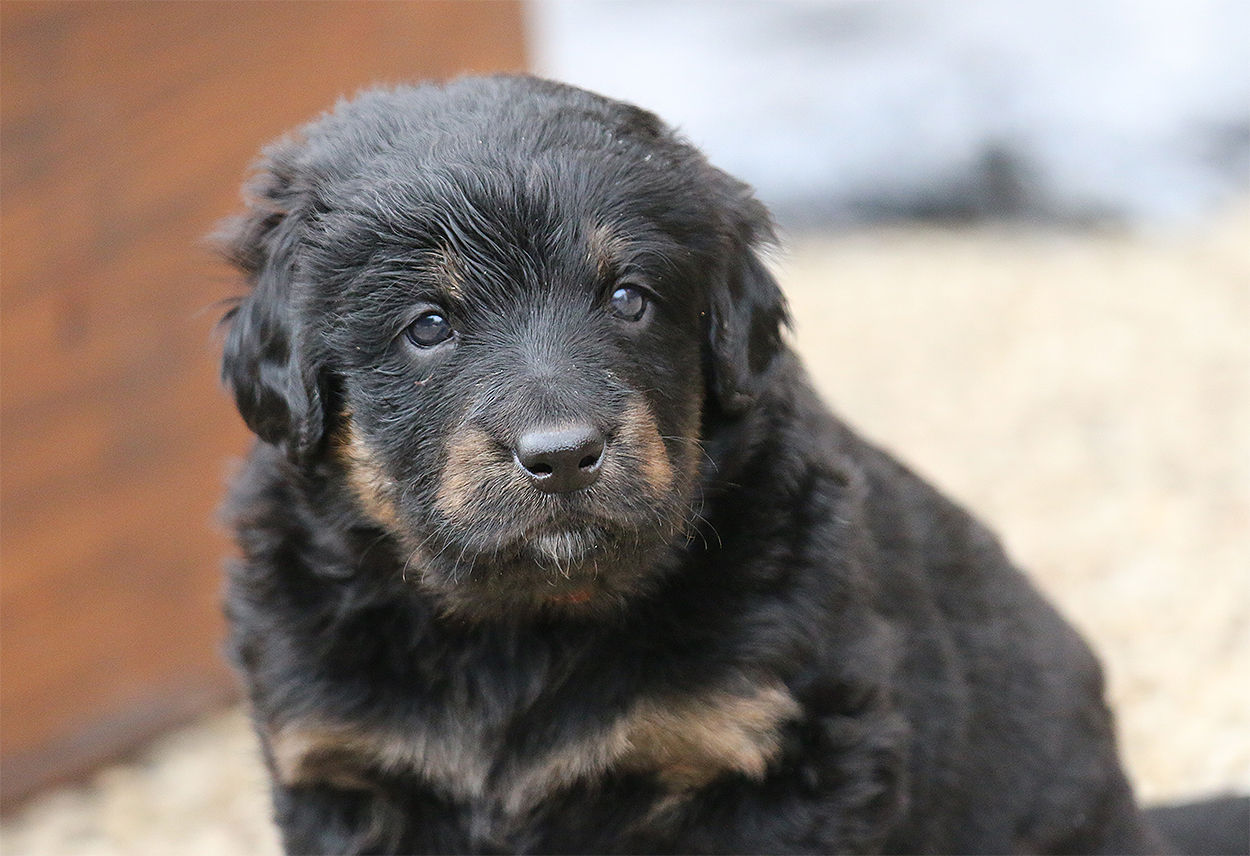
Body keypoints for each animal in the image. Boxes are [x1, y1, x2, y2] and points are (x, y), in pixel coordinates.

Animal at [218, 75, 1172, 854]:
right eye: (428, 325)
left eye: (628, 298)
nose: (563, 457)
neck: (523, 628)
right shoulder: (347, 768)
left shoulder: (775, 757)